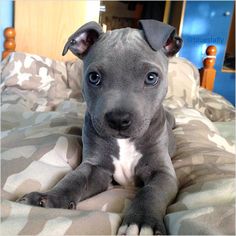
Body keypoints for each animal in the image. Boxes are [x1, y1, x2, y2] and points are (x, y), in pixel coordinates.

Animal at [18, 19, 183, 234]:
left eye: (151, 77)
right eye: (94, 77)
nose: (119, 119)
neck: (124, 142)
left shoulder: (163, 173)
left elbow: (151, 191)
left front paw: (141, 221)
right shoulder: (96, 168)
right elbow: (73, 180)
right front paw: (49, 199)